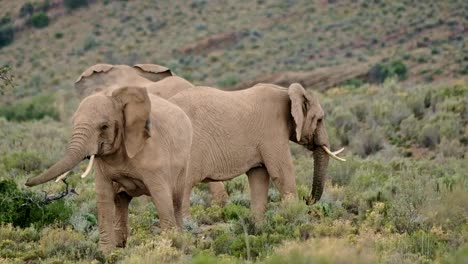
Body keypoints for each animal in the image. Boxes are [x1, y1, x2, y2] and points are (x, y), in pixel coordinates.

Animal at [24, 85, 193, 254]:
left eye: (104, 126)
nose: (26, 182)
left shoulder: (154, 154)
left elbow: (161, 198)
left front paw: (170, 247)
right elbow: (103, 196)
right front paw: (105, 253)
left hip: (183, 165)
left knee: (176, 201)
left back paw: (182, 242)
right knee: (121, 200)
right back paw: (120, 246)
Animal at [170, 82, 346, 221]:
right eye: (320, 119)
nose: (307, 198)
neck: (286, 91)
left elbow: (259, 177)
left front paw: (257, 227)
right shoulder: (272, 132)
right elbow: (282, 173)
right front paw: (296, 217)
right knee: (184, 189)